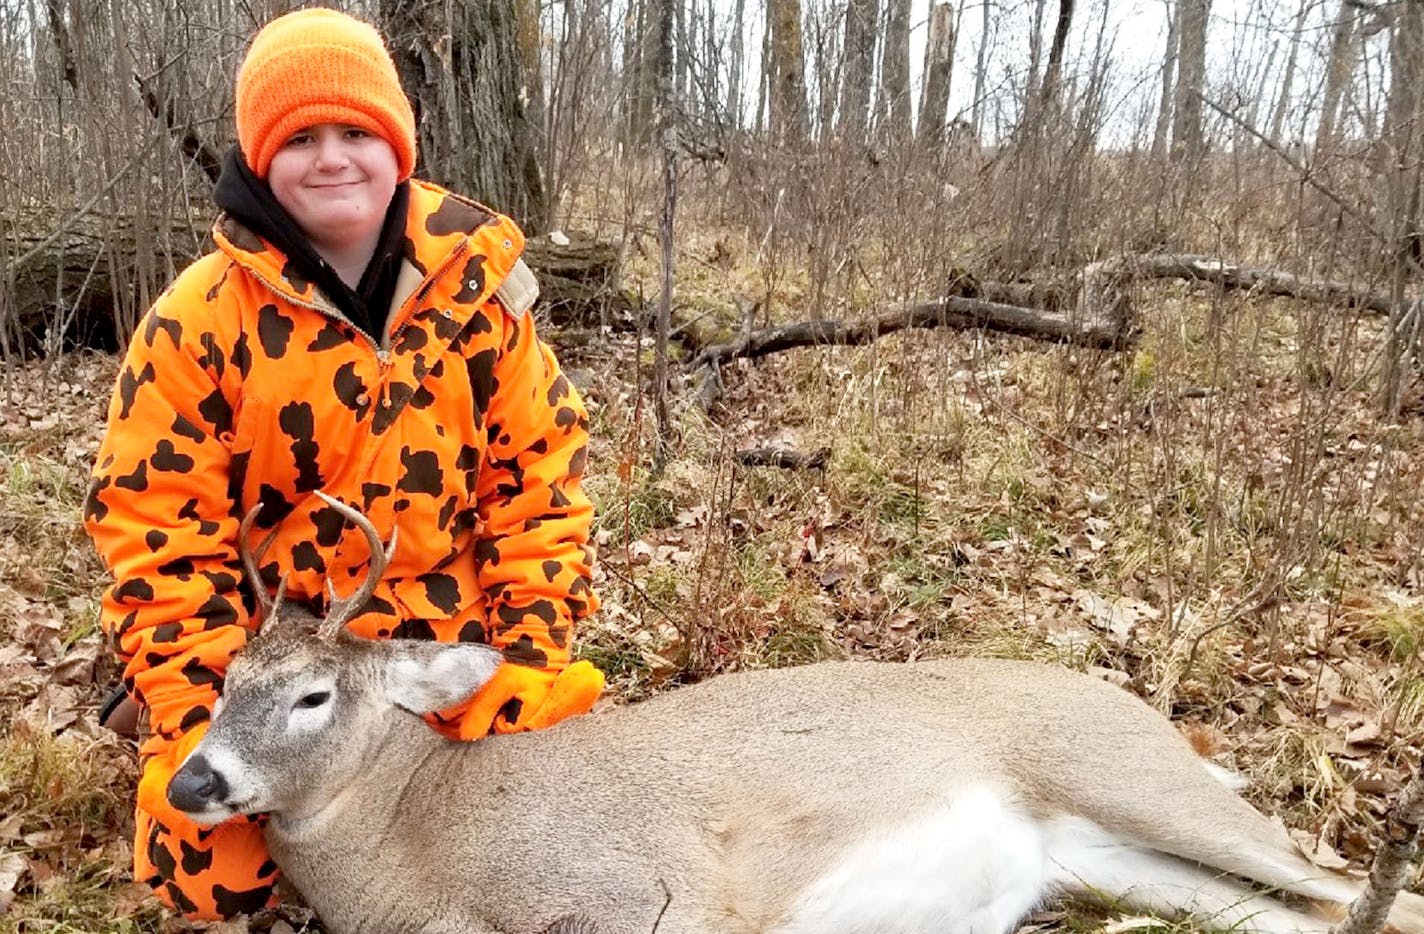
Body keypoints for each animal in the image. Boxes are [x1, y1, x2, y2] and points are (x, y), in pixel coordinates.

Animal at [166, 492, 1424, 928]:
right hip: (1104, 859)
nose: (193, 780)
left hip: (1130, 778)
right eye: (223, 682)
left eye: (314, 692)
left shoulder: (645, 894)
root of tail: (1136, 705)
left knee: (1347, 889)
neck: (423, 850)